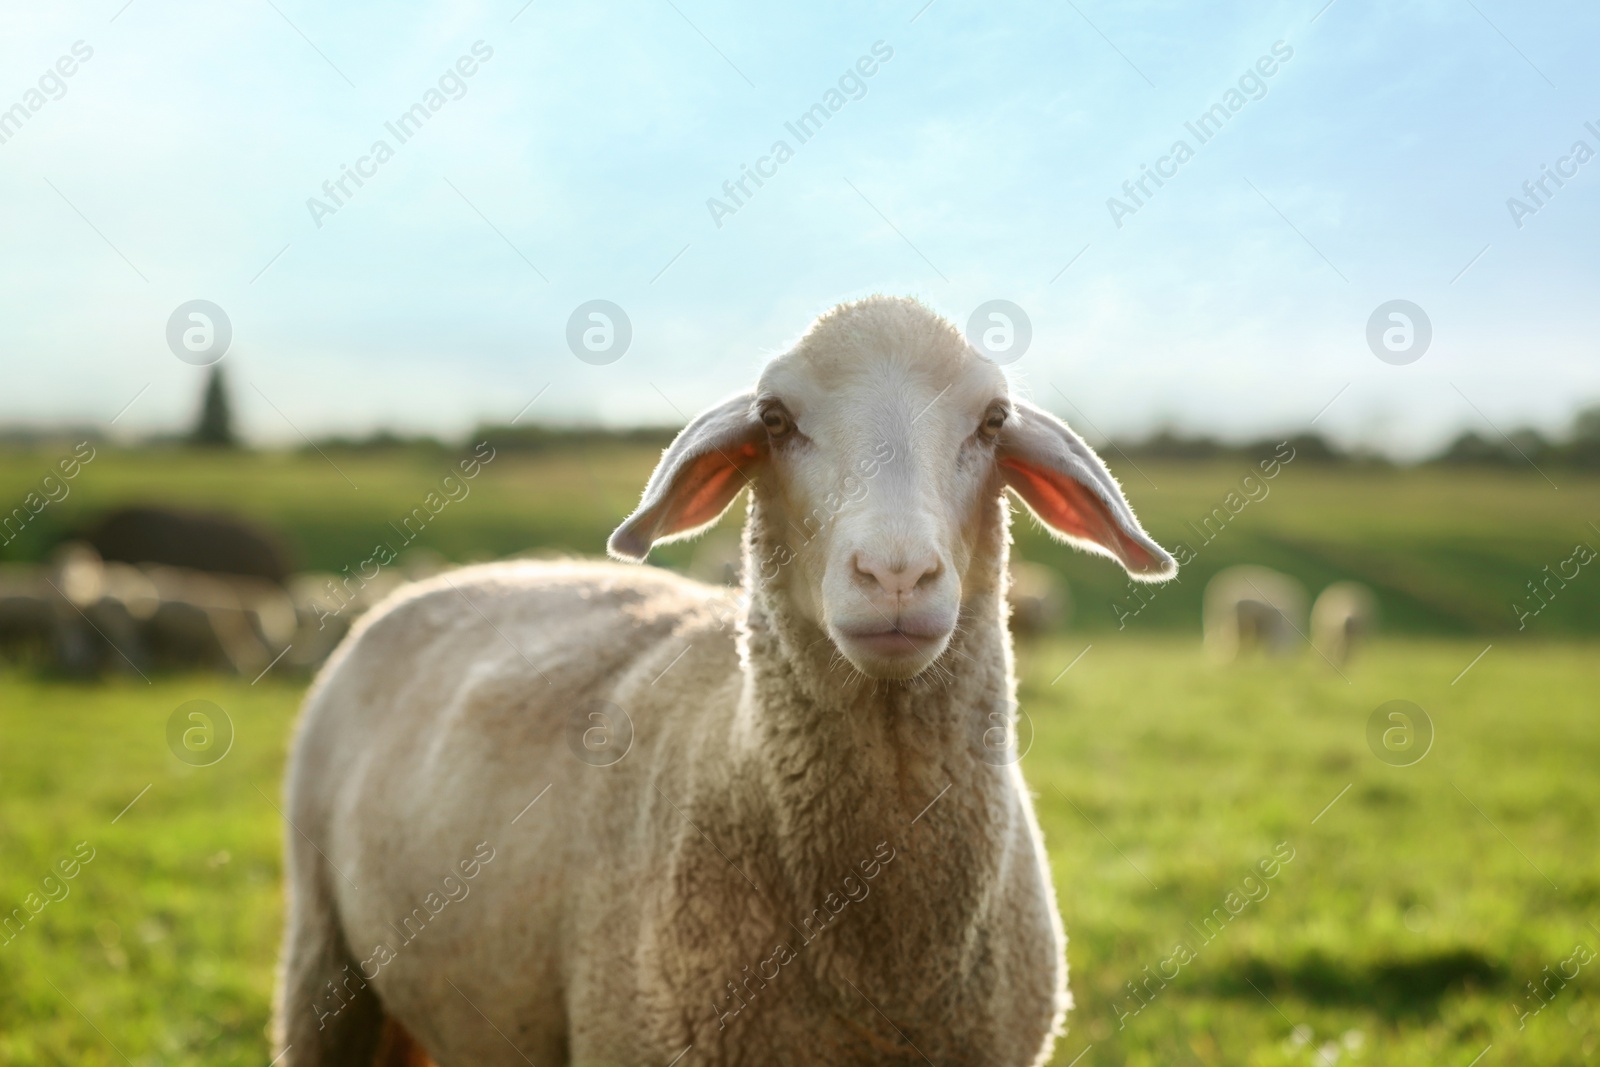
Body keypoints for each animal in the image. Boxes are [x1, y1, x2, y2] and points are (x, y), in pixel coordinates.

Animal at [272, 294, 1177, 1067]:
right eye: (775, 419)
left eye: (992, 421)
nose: (895, 574)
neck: (884, 974)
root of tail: (433, 585)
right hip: (322, 961)